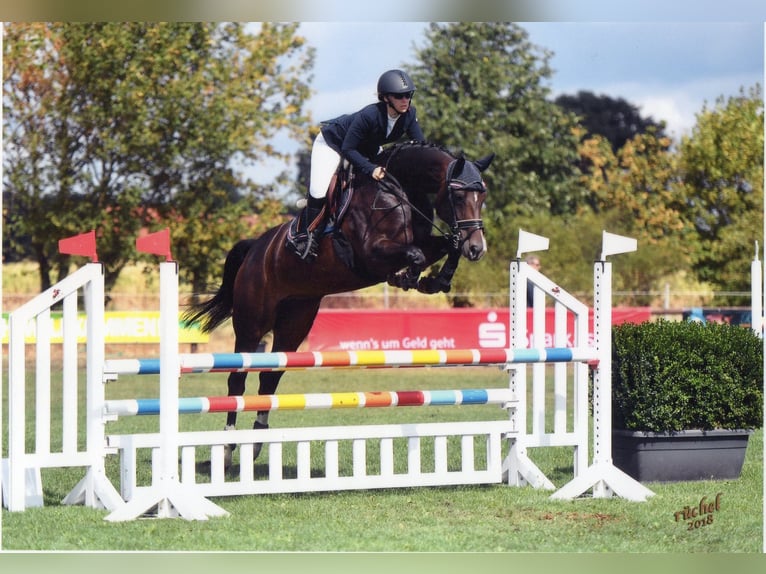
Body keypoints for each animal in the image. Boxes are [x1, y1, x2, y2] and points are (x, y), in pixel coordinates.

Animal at [187, 141, 498, 460]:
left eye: (483, 195)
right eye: (458, 195)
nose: (477, 248)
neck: (399, 189)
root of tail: (254, 249)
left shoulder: (423, 241)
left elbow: (445, 246)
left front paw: (435, 280)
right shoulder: (370, 254)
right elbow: (415, 254)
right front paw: (408, 276)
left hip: (294, 321)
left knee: (270, 378)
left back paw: (258, 440)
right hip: (252, 322)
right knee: (237, 378)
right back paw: (228, 446)